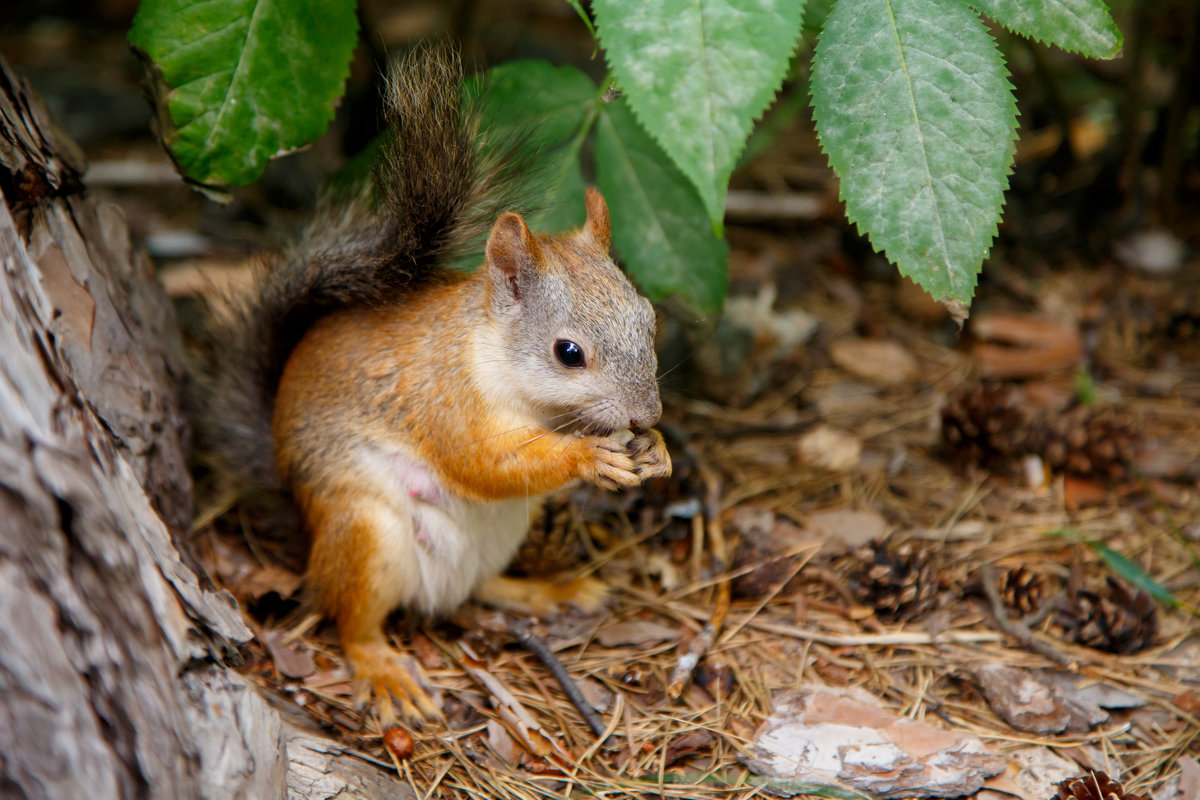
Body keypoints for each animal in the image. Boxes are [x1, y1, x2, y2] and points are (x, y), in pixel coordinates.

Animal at [192, 43, 672, 719]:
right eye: (568, 353)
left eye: (649, 317)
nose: (645, 416)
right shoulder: (447, 397)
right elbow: (483, 462)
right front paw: (587, 457)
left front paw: (657, 452)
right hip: (368, 533)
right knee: (352, 619)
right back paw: (384, 670)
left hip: (502, 534)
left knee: (482, 587)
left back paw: (547, 592)